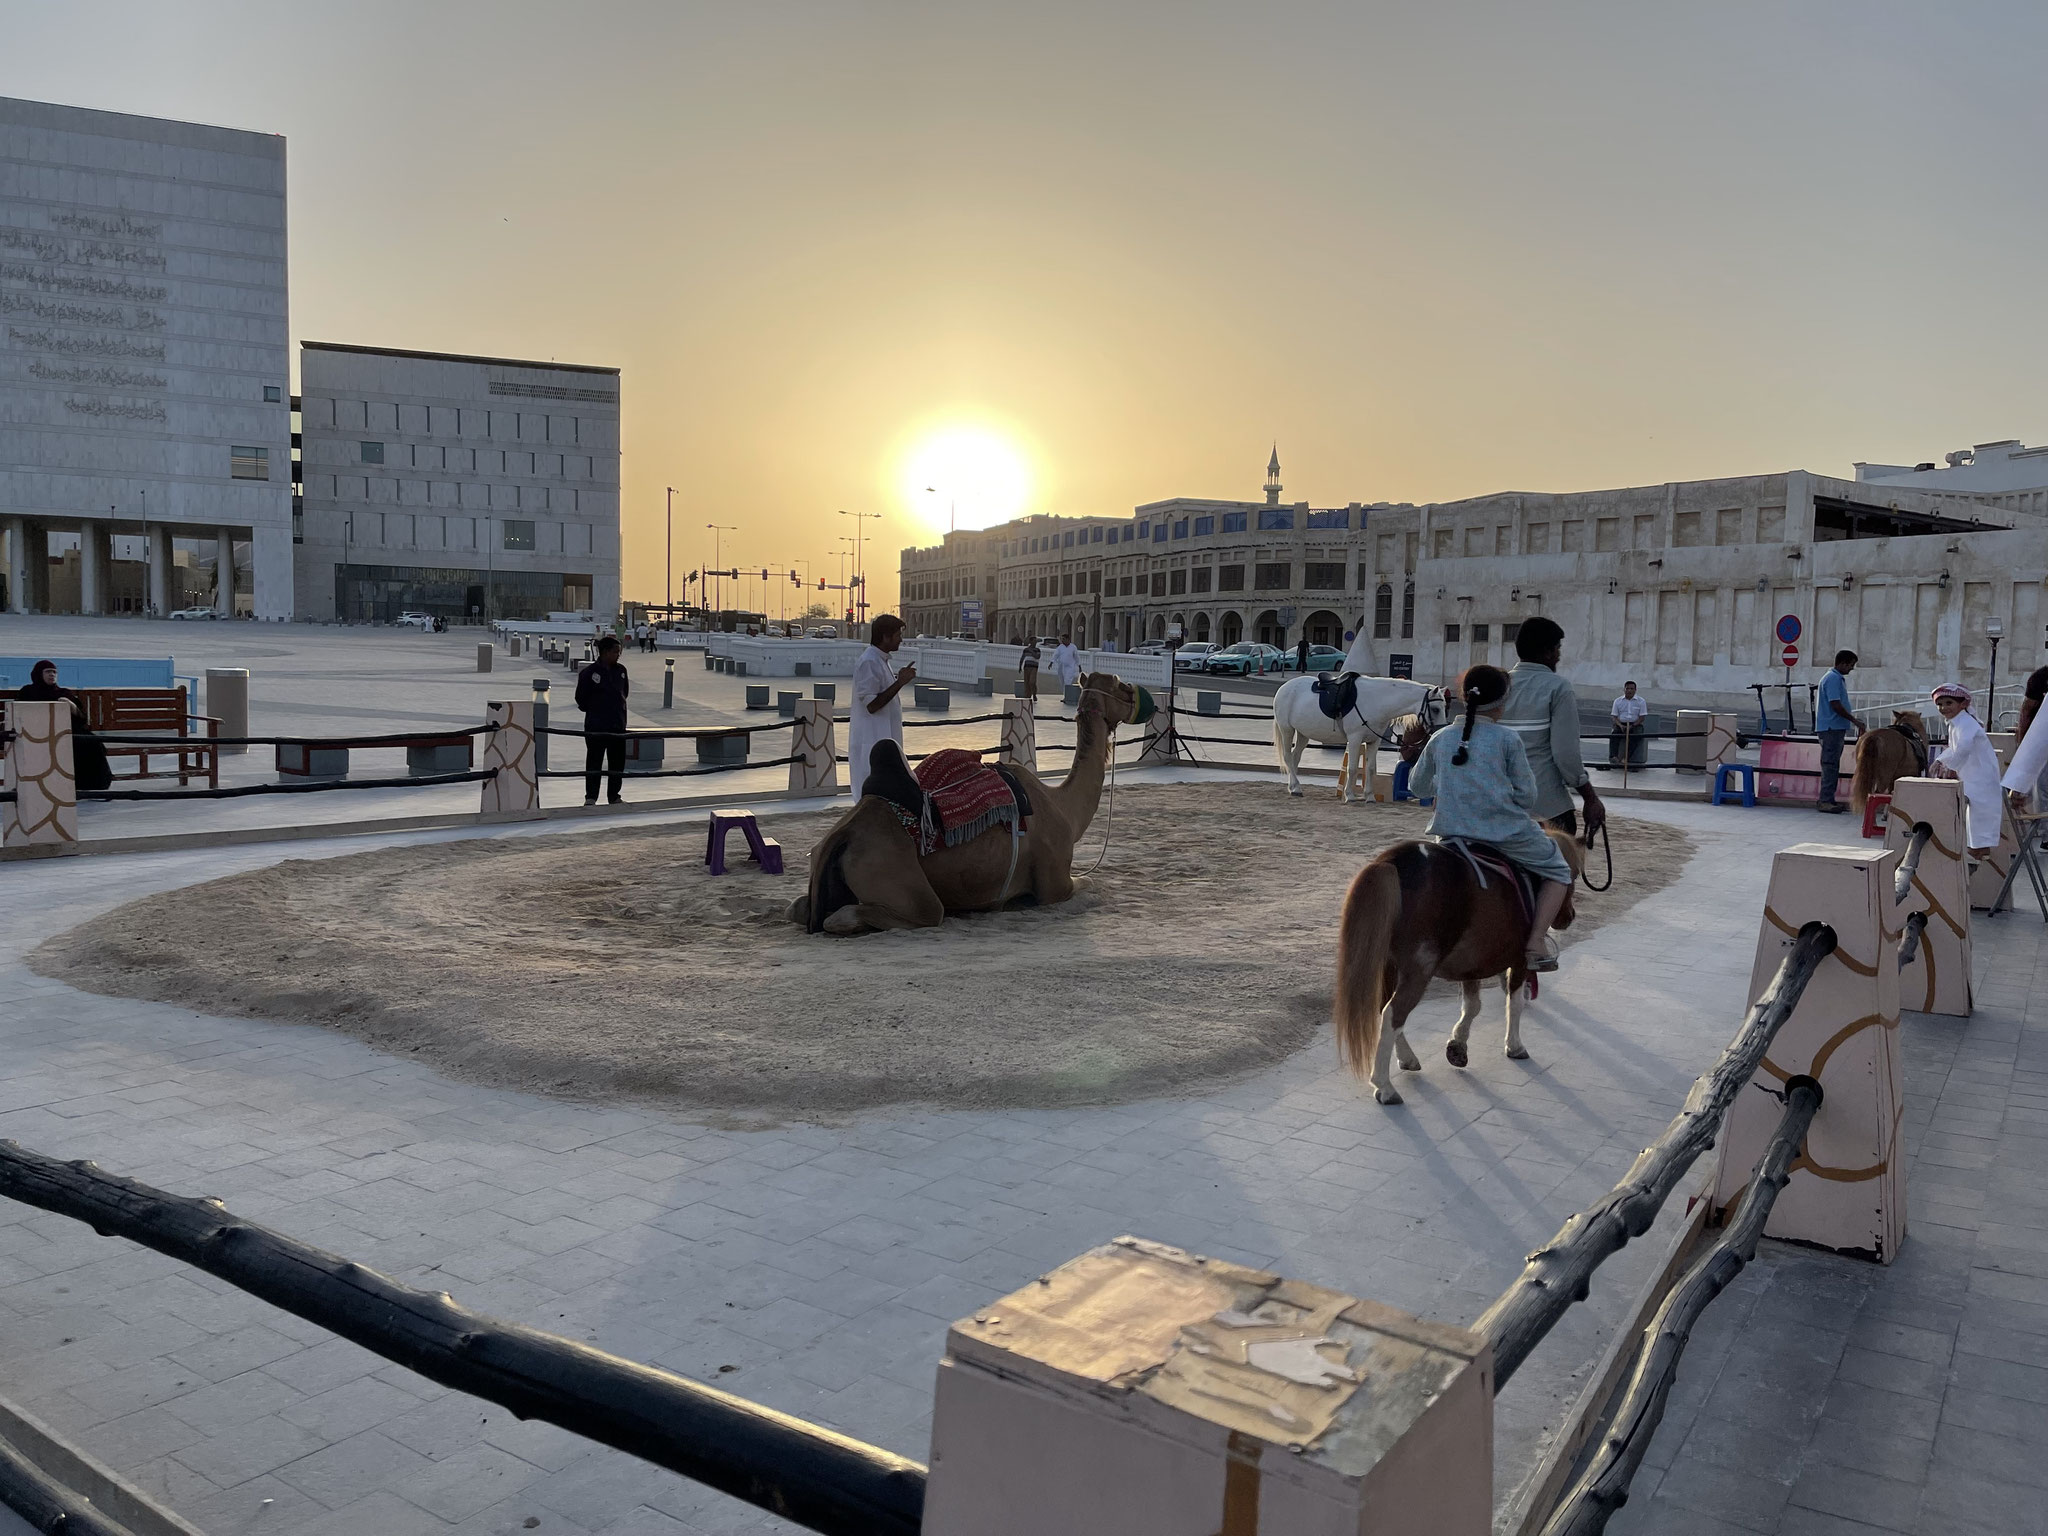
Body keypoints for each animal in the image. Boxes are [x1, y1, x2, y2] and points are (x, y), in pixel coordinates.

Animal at [786, 667, 1155, 933]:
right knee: (910, 912)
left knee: (798, 907)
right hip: (896, 874)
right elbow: (1090, 883)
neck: (1064, 808)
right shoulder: (1054, 884)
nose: (1145, 700)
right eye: (1120, 684)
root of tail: (841, 836)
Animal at [1335, 831, 1589, 1105]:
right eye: (1573, 874)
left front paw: (1457, 1045)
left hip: (1390, 966)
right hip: (1418, 970)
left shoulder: (1472, 967)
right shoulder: (1519, 961)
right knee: (1394, 1013)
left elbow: (1472, 1006)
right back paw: (1385, 1086)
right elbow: (1515, 1003)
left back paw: (1407, 1058)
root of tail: (1393, 861)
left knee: (1386, 1011)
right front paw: (1514, 1045)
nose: (1570, 916)